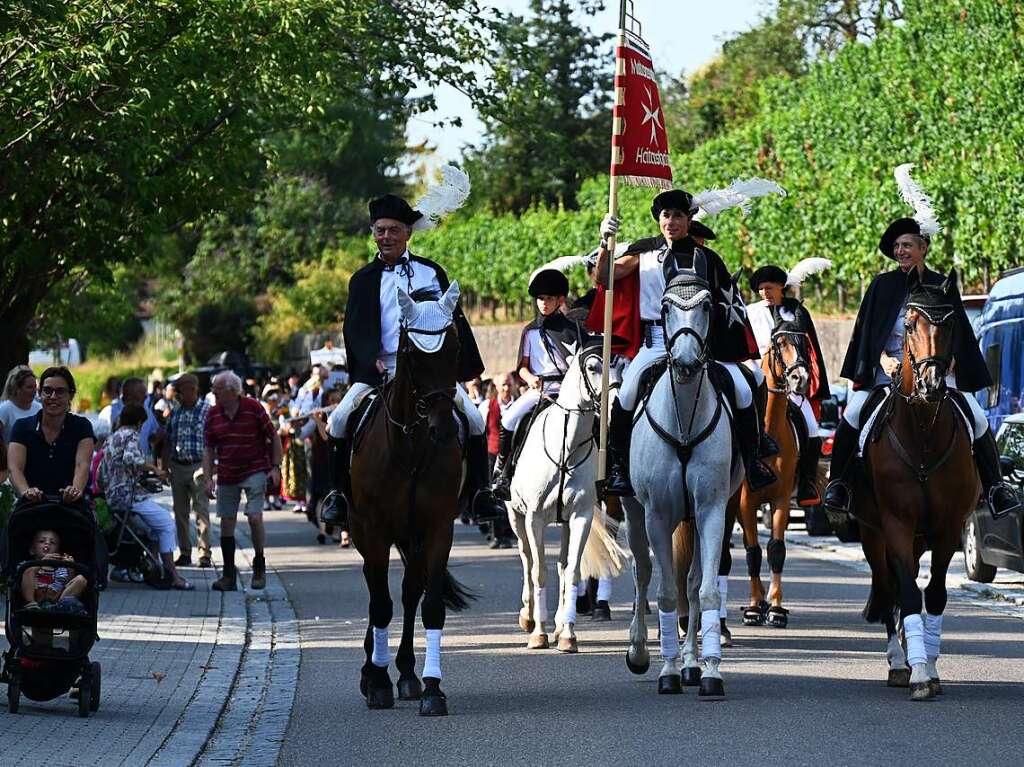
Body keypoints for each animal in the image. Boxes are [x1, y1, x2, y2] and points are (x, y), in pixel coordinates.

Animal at [350, 280, 477, 716]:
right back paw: (373, 671)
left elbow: (430, 605)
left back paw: (405, 673)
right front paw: (377, 683)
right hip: (365, 532)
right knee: (376, 590)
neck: (411, 449)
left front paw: (432, 689)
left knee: (408, 592)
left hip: (413, 538)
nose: (443, 429)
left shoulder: (437, 529)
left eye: (455, 348)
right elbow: (379, 603)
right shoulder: (374, 530)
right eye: (412, 354)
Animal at [507, 337, 626, 651]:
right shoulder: (534, 517)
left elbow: (571, 570)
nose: (614, 404)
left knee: (561, 565)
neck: (566, 448)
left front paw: (567, 634)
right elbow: (538, 570)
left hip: (563, 524)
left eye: (619, 365)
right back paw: (528, 617)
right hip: (516, 516)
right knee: (526, 559)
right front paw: (539, 633)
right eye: (593, 367)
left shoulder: (579, 516)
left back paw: (560, 624)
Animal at [622, 260, 745, 696]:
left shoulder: (711, 509)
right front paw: (668, 671)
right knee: (643, 572)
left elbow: (702, 591)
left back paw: (692, 662)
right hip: (633, 512)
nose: (688, 363)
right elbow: (664, 593)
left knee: (690, 582)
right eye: (666, 306)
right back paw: (640, 651)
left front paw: (708, 671)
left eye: (708, 306)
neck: (684, 423)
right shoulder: (657, 514)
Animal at [737, 317, 815, 626]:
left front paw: (776, 607)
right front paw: (754, 607)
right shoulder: (746, 503)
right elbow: (753, 552)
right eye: (780, 344)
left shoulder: (781, 500)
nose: (800, 379)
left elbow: (776, 550)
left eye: (804, 342)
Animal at [847, 268, 974, 700]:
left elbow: (932, 595)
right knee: (889, 590)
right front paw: (916, 672)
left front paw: (931, 667)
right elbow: (905, 592)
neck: (922, 432)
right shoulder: (896, 524)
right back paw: (899, 662)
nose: (933, 384)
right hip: (873, 535)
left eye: (950, 323)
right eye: (909, 324)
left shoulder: (949, 527)